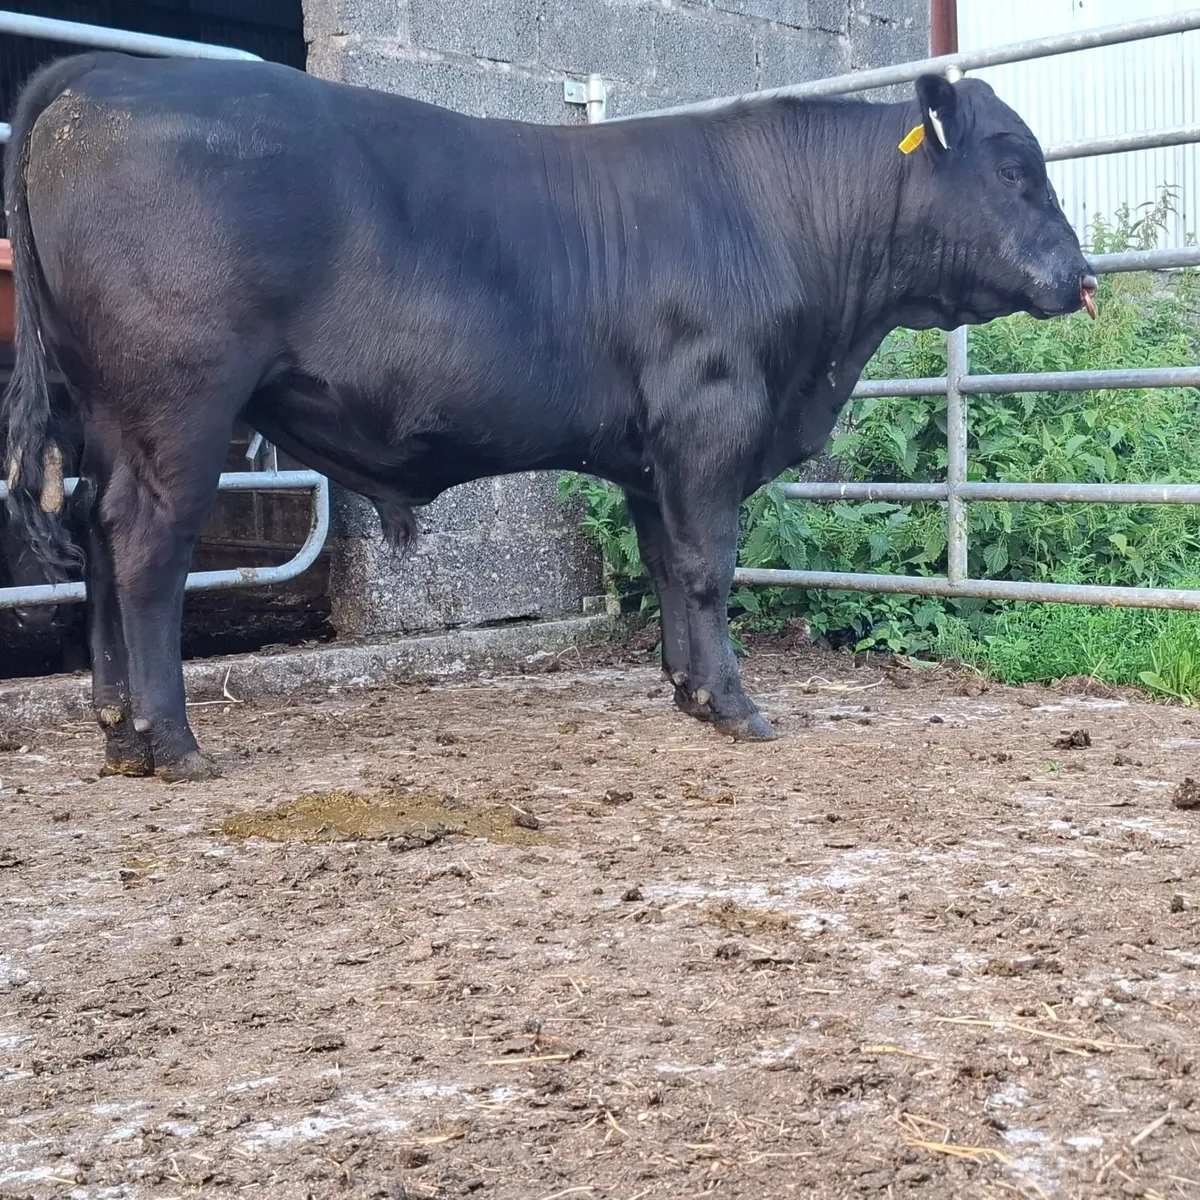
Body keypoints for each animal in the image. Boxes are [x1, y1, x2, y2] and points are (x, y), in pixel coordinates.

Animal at [1, 51, 1095, 782]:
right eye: (1012, 167)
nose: (1082, 276)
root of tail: (104, 78)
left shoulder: (656, 455)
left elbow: (669, 568)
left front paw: (691, 694)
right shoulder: (709, 419)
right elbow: (708, 568)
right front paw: (737, 707)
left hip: (105, 412)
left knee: (94, 532)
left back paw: (116, 730)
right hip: (180, 405)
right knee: (145, 550)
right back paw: (171, 743)